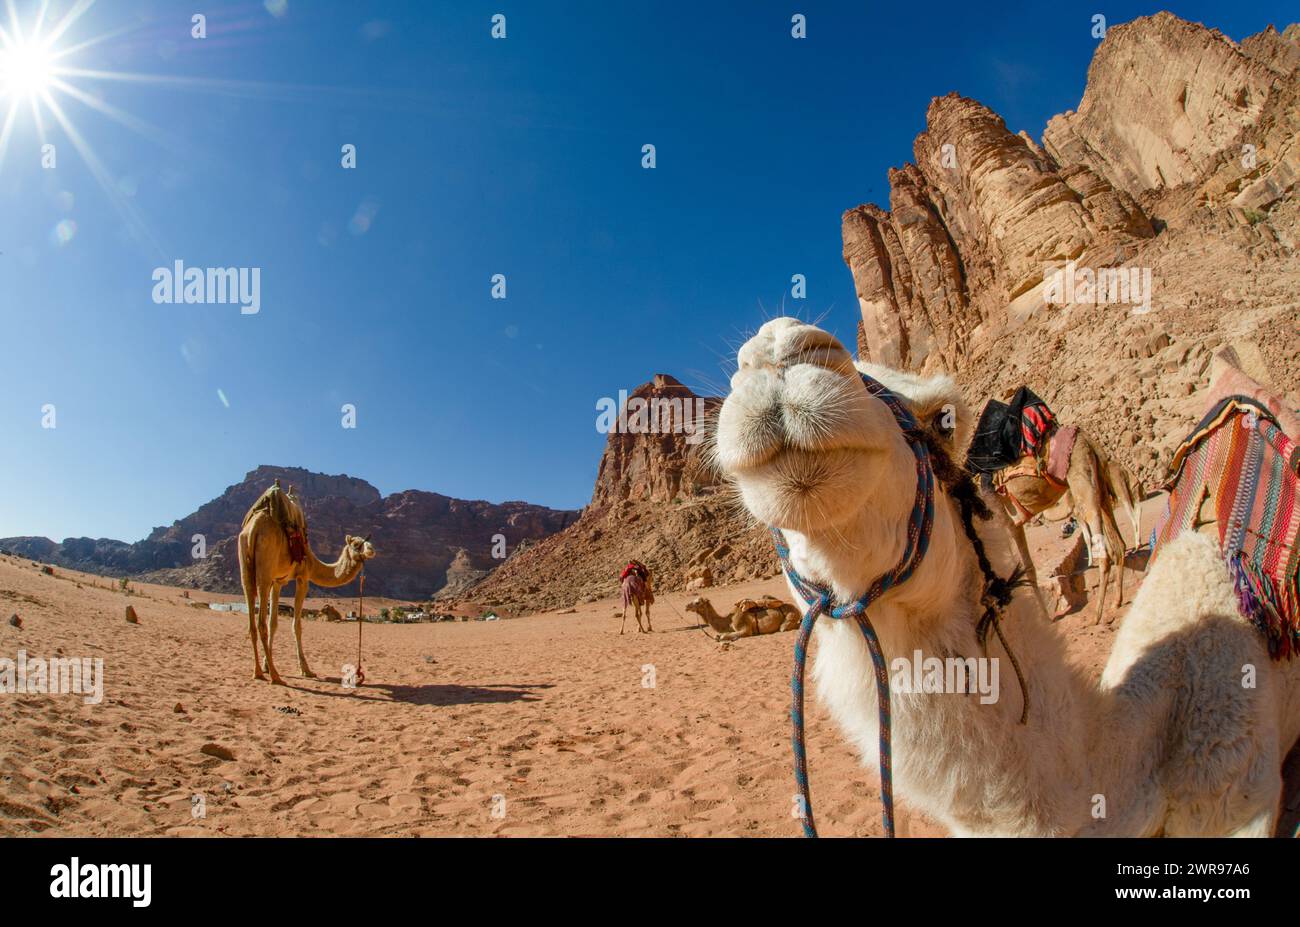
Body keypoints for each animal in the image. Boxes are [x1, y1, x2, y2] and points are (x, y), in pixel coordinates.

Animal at [236, 481, 377, 681]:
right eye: (357, 544)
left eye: (368, 542)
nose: (372, 550)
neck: (312, 561)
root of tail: (254, 528)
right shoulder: (302, 578)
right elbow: (296, 625)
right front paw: (306, 669)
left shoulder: (278, 581)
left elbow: (274, 623)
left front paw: (266, 664)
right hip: (264, 569)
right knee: (260, 622)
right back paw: (275, 676)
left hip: (246, 564)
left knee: (252, 616)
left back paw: (258, 672)